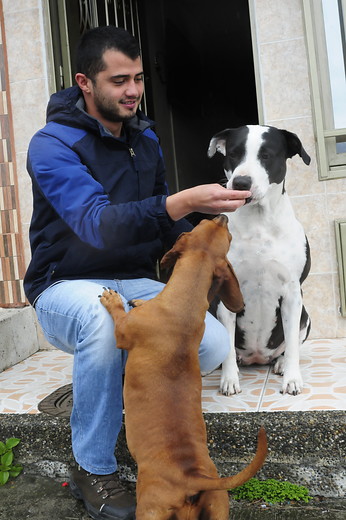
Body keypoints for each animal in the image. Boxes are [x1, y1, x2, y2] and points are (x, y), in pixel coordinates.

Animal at [100, 213, 268, 516]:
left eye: (201, 222)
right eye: (225, 233)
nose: (222, 215)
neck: (183, 307)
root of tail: (192, 477)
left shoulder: (123, 332)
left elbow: (118, 315)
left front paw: (113, 299)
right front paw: (138, 299)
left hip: (149, 509)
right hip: (218, 508)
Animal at [208, 125, 310, 394]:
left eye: (266, 155)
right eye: (234, 154)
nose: (241, 182)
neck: (259, 221)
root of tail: (257, 358)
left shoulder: (292, 293)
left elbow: (293, 345)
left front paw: (292, 379)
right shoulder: (225, 294)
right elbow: (227, 349)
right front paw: (229, 380)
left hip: (305, 316)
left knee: (290, 345)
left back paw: (281, 364)